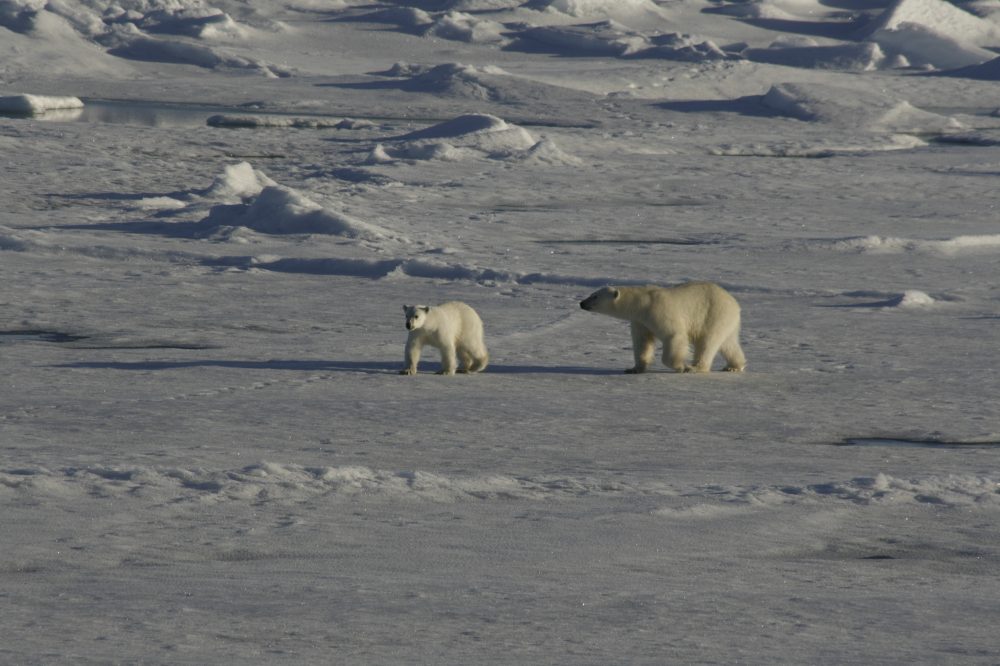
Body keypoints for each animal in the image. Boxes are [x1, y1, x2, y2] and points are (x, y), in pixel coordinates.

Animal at [580, 282, 744, 374]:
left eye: (594, 296)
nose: (582, 303)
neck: (643, 302)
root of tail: (734, 302)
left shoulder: (659, 310)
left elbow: (674, 335)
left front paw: (681, 366)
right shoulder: (640, 321)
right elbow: (642, 342)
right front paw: (634, 369)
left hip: (714, 313)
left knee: (707, 342)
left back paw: (694, 367)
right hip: (727, 320)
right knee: (728, 343)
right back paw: (734, 366)